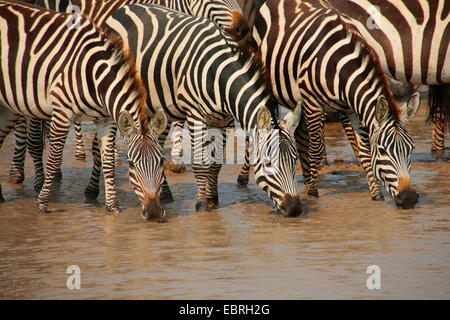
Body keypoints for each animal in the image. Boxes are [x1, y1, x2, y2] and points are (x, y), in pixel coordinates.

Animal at [0, 0, 168, 220]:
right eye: (131, 164)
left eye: (161, 161)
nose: (154, 213)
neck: (97, 78)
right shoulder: (62, 112)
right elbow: (54, 159)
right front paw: (42, 204)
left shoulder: (106, 119)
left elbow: (107, 162)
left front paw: (113, 207)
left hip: (8, 106)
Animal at [103, 3, 302, 215]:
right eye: (268, 162)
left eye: (294, 160)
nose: (294, 209)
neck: (220, 76)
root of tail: (125, 8)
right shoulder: (195, 115)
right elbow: (200, 164)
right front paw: (202, 205)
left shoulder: (224, 120)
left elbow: (216, 164)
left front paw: (213, 199)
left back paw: (165, 195)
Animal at [237, 0, 420, 209]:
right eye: (383, 150)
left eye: (411, 149)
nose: (409, 198)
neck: (340, 69)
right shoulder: (313, 102)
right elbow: (316, 150)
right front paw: (313, 192)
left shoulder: (353, 109)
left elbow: (365, 151)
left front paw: (376, 195)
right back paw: (244, 178)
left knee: (300, 134)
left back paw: (306, 178)